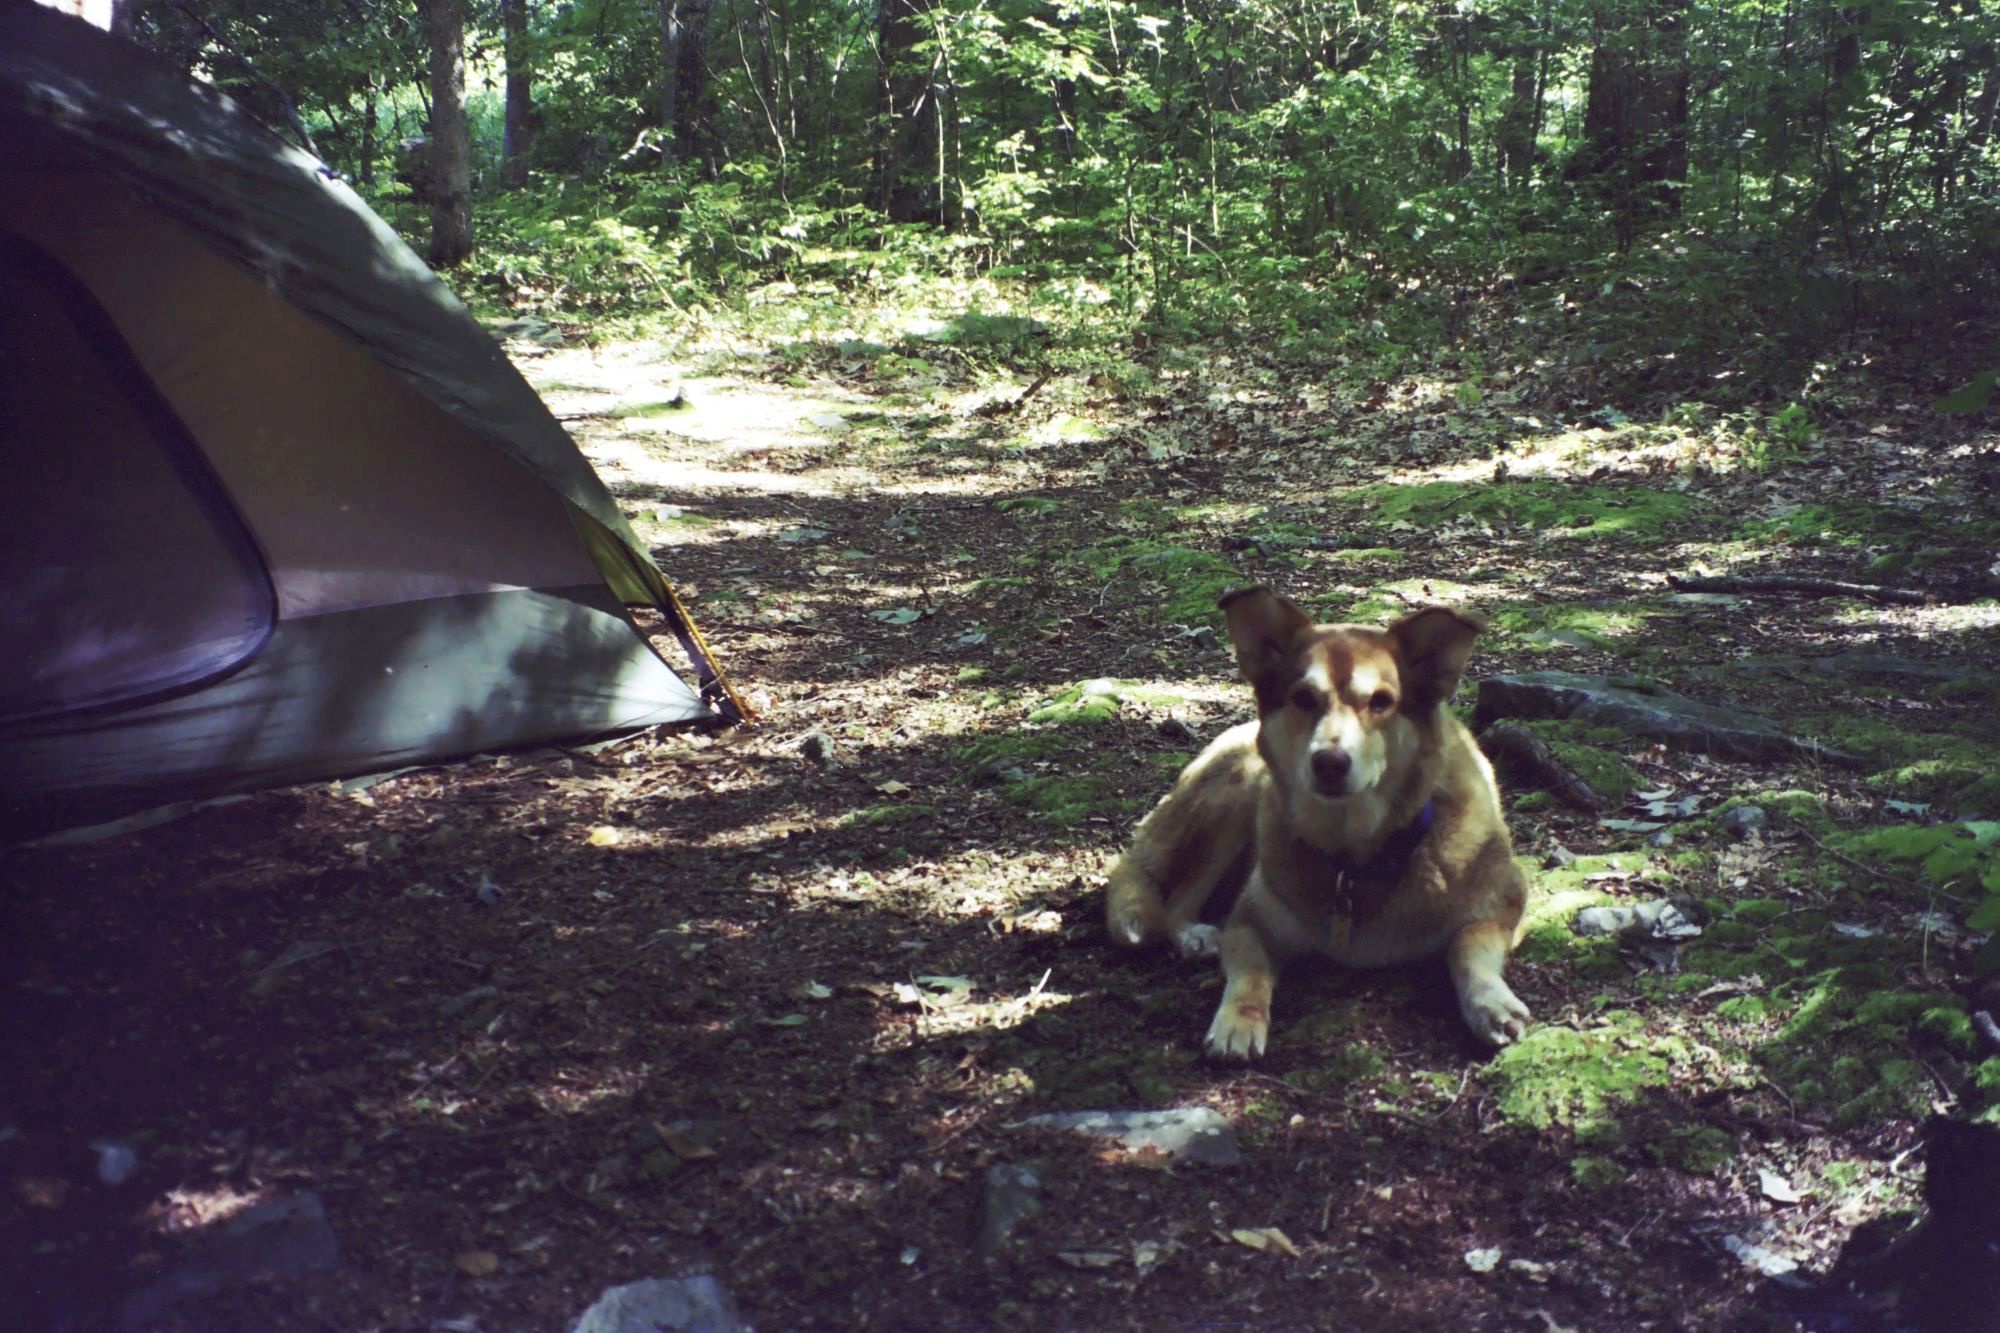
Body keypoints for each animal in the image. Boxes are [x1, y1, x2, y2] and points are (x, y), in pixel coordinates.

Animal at [1112, 588, 1528, 1056]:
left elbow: (1466, 945)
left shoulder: (1507, 901)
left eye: (1381, 702)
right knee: (1177, 898)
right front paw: (1238, 1020)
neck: (1358, 857)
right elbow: (1250, 974)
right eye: (1304, 699)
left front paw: (1491, 1004)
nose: (1329, 762)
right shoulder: (1247, 922)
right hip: (1236, 794)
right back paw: (1194, 936)